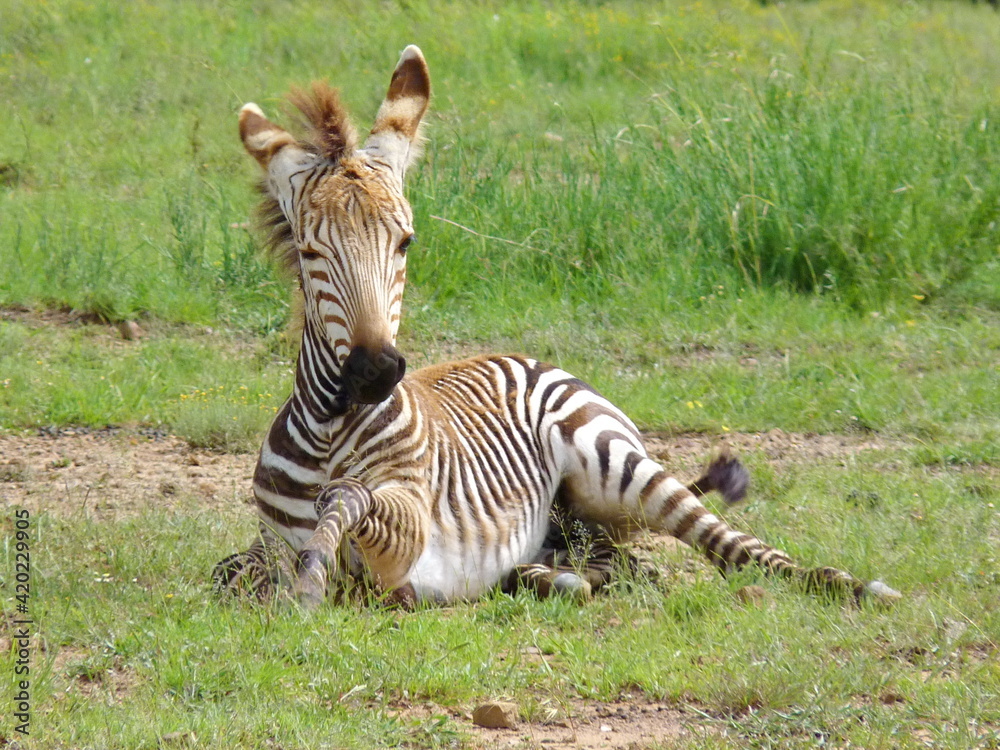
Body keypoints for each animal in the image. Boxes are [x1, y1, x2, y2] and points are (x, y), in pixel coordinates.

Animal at [213, 45, 900, 608]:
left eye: (406, 242)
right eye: (309, 251)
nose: (375, 371)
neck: (334, 432)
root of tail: (533, 360)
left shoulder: (408, 524)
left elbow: (347, 500)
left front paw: (314, 577)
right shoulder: (266, 543)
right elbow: (230, 571)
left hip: (618, 464)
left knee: (735, 550)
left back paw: (852, 586)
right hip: (574, 525)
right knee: (623, 566)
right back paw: (546, 577)